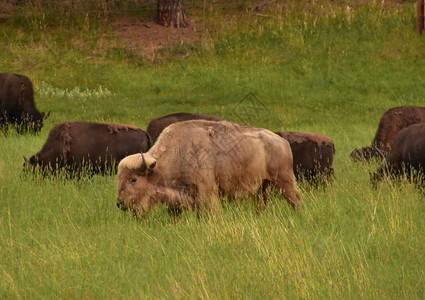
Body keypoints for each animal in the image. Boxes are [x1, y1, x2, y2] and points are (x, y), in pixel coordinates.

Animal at [117, 119, 302, 218]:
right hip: (261, 187)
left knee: (295, 199)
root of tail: (282, 141)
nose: (120, 203)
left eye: (133, 179)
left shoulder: (207, 191)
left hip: (284, 180)